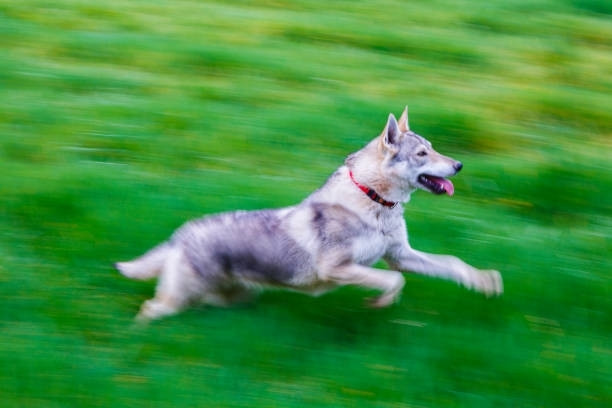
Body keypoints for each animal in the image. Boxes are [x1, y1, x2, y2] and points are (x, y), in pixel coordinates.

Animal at [115, 107, 502, 322]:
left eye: (434, 148)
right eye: (422, 153)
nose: (459, 165)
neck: (375, 203)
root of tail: (180, 235)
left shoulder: (401, 255)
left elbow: (452, 264)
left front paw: (485, 280)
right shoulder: (338, 268)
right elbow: (394, 281)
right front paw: (381, 302)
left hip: (232, 296)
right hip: (180, 297)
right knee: (150, 309)